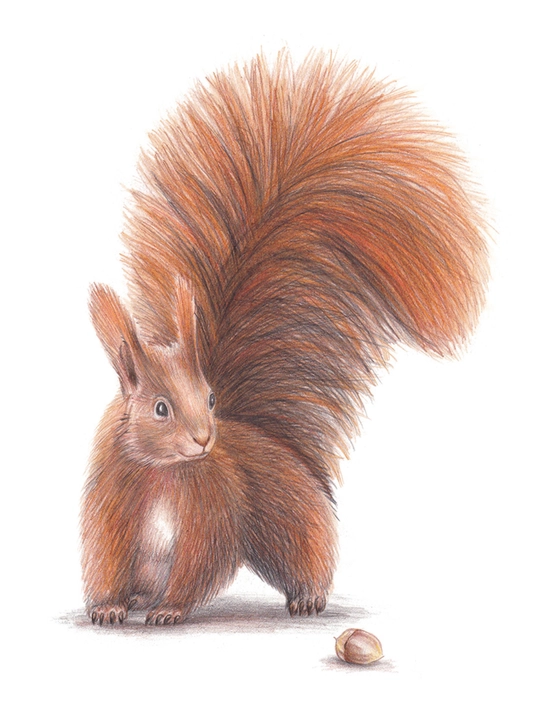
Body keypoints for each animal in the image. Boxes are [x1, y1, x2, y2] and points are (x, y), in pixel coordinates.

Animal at [81, 51, 488, 625]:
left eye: (211, 397)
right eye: (160, 408)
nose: (204, 439)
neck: (163, 472)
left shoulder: (212, 503)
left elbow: (201, 560)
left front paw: (171, 610)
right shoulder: (112, 502)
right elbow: (105, 556)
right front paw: (109, 607)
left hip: (292, 519)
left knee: (308, 553)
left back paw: (308, 596)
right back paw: (139, 599)